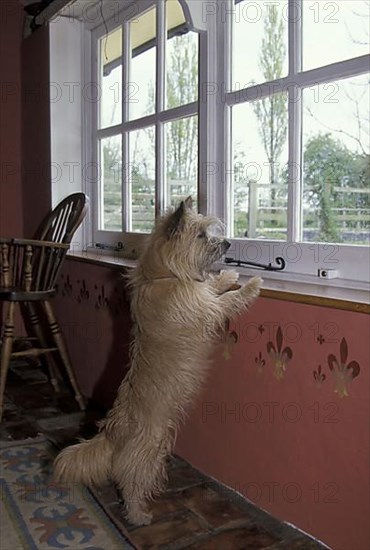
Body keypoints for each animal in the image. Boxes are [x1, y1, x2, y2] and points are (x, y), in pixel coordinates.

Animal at [54, 197, 264, 528]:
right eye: (201, 235)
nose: (228, 243)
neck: (165, 275)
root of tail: (111, 431)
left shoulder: (200, 293)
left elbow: (212, 287)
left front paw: (228, 277)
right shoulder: (206, 310)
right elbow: (226, 302)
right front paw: (250, 285)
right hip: (149, 451)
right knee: (130, 482)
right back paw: (138, 514)